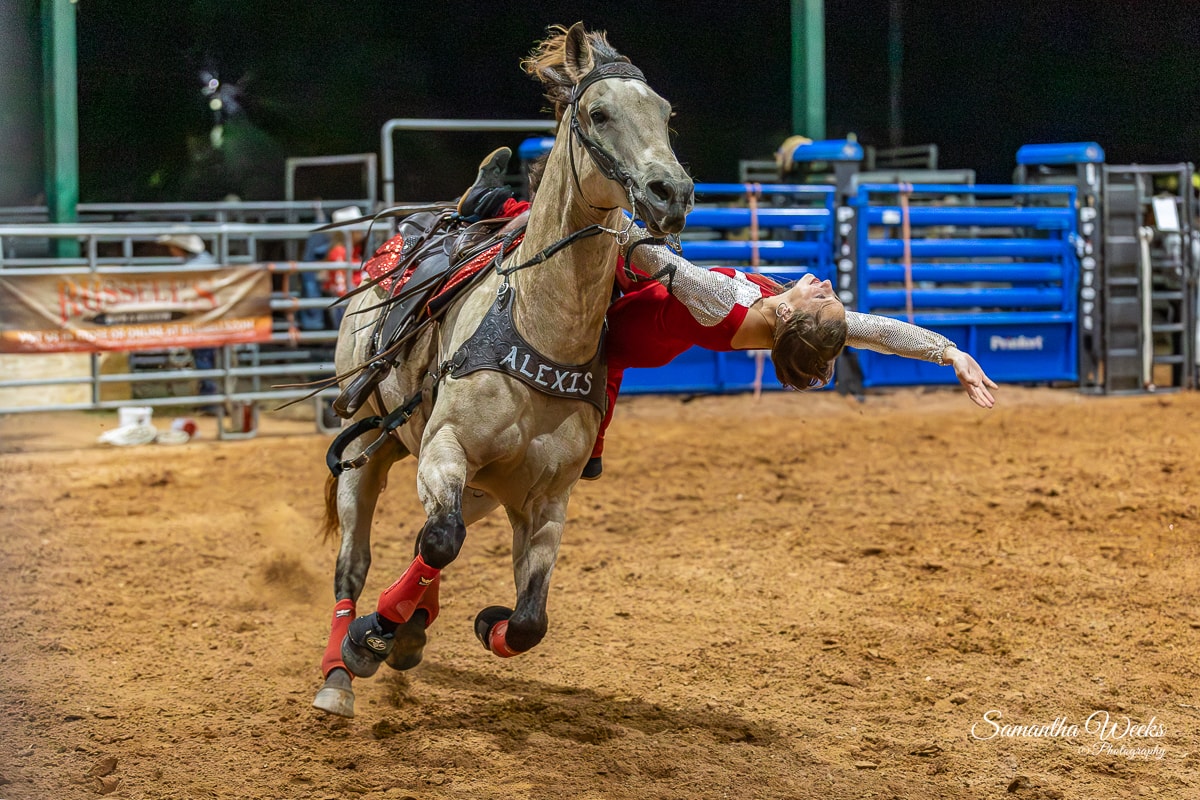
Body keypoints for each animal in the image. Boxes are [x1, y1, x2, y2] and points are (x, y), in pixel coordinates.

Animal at [312, 23, 694, 718]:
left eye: (665, 115)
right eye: (599, 114)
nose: (671, 193)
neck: (537, 327)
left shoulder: (546, 499)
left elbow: (527, 621)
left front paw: (478, 622)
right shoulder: (445, 448)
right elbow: (440, 541)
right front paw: (370, 638)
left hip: (485, 485)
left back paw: (411, 631)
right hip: (369, 450)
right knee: (358, 561)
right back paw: (339, 673)